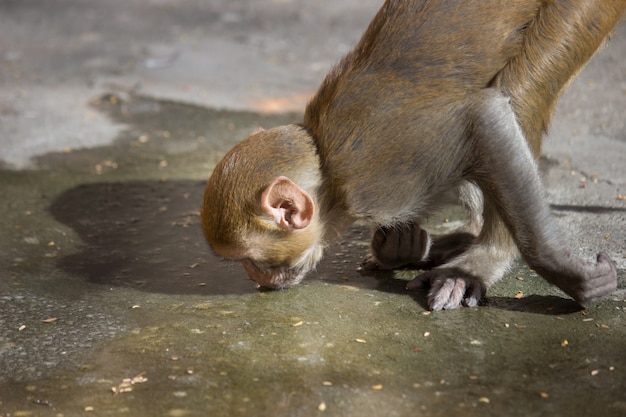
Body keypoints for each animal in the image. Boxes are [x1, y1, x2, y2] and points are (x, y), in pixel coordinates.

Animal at [202, 0, 620, 308]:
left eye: (250, 258)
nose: (253, 276)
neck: (330, 178)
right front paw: (402, 248)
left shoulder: (379, 177)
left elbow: (483, 117)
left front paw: (555, 266)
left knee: (518, 91)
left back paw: (482, 258)